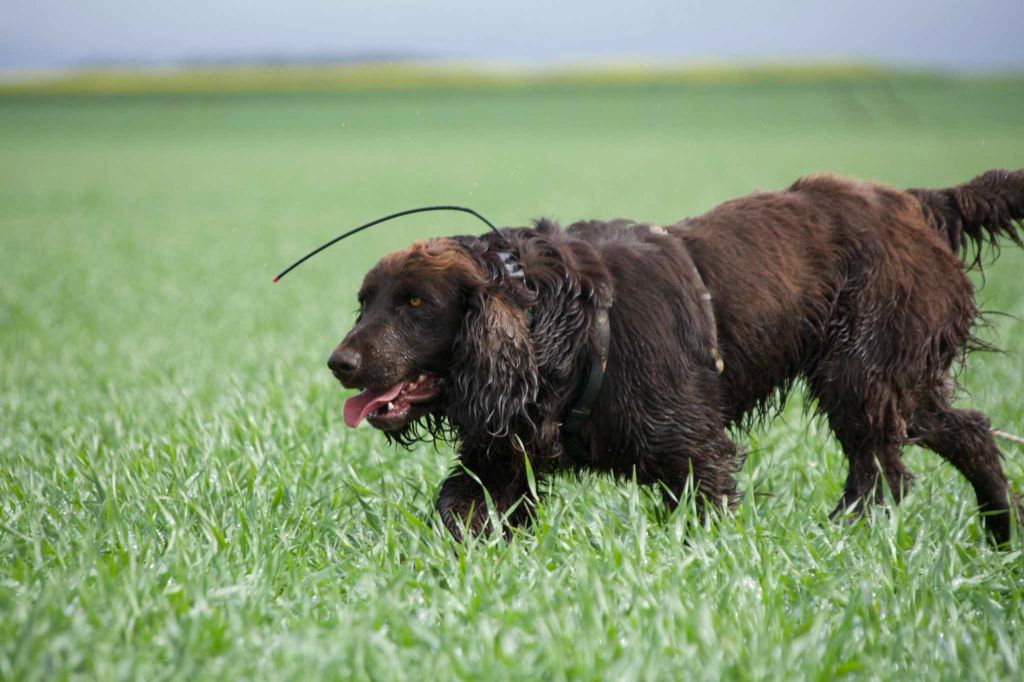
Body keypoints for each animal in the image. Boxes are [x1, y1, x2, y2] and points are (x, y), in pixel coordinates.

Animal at [327, 169, 1024, 540]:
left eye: (417, 304)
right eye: (365, 301)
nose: (340, 364)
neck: (552, 320)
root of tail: (915, 201)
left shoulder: (691, 451)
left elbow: (704, 511)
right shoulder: (503, 457)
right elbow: (458, 510)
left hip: (861, 371)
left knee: (879, 469)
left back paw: (844, 536)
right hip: (895, 379)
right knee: (968, 432)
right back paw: (1001, 533)